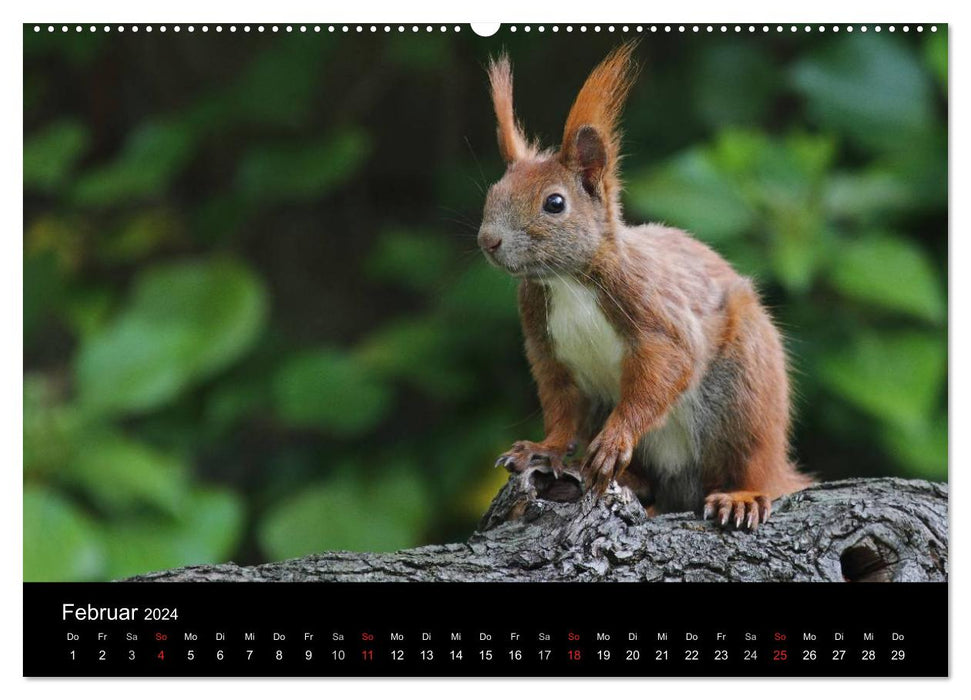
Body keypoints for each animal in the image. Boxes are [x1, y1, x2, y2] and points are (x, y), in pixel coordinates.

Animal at [478, 43, 812, 532]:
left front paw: (614, 440)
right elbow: (560, 407)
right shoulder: (548, 349)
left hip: (744, 392)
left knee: (751, 462)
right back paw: (634, 482)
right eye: (493, 192)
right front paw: (544, 449)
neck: (567, 282)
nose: (488, 240)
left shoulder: (653, 309)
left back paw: (741, 495)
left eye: (554, 203)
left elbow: (665, 367)